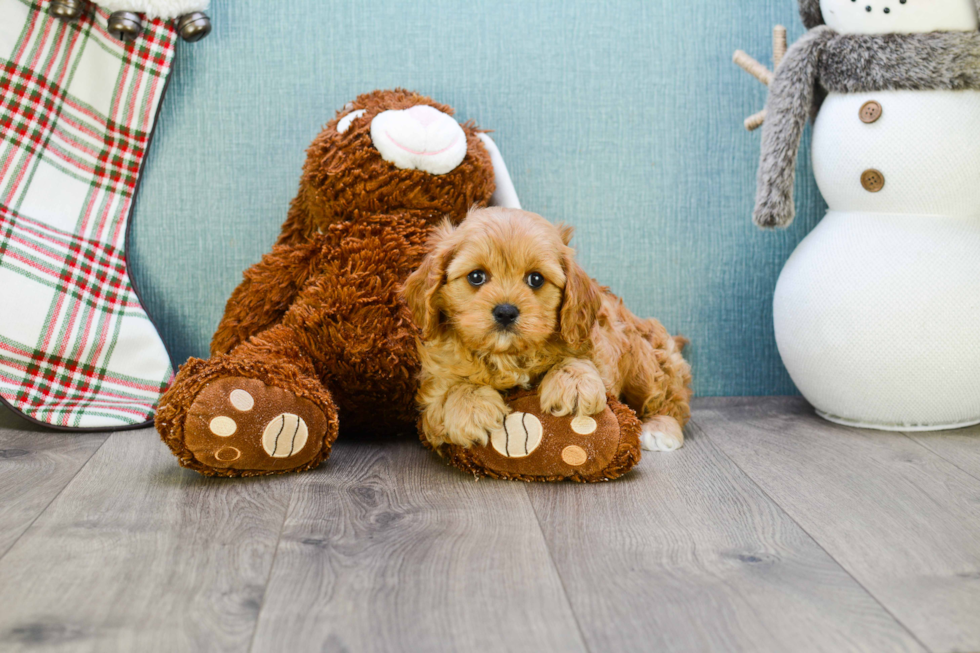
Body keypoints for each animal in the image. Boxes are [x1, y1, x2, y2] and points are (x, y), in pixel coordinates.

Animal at [402, 209, 692, 454]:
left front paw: (573, 383)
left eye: (536, 279)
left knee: (671, 399)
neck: (508, 356)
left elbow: (578, 359)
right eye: (476, 277)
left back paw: (660, 429)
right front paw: (472, 407)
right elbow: (450, 391)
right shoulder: (432, 392)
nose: (505, 311)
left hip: (647, 363)